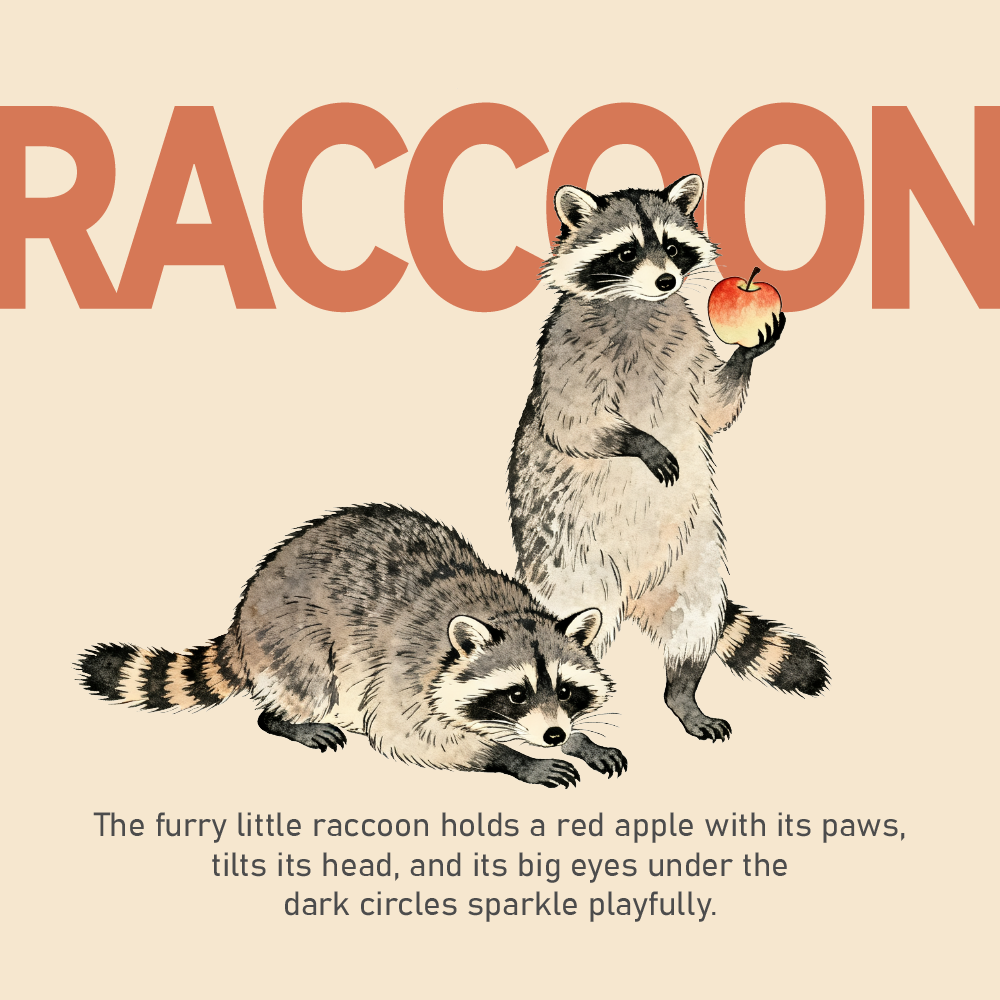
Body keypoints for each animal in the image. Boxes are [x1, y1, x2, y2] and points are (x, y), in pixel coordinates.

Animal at [78, 505, 625, 787]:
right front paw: (514, 758)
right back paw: (291, 720)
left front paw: (579, 740)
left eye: (566, 690)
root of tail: (243, 614)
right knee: (308, 686)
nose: (554, 734)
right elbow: (407, 734)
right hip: (294, 638)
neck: (506, 613)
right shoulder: (406, 672)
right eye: (516, 693)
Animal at [508, 176, 828, 742]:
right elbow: (572, 422)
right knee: (567, 632)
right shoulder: (565, 348)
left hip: (695, 556)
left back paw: (682, 692)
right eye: (626, 251)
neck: (639, 306)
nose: (666, 280)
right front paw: (641, 441)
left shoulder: (690, 343)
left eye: (674, 247)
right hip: (572, 564)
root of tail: (635, 593)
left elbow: (713, 409)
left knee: (696, 619)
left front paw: (746, 353)